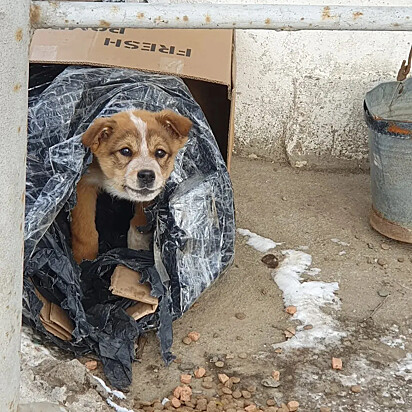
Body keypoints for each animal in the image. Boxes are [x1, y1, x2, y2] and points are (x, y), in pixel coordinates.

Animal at [71, 108, 193, 264]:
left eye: (160, 152)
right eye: (125, 151)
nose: (147, 175)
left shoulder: (147, 198)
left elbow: (139, 225)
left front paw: (136, 251)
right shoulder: (84, 184)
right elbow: (85, 231)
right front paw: (83, 260)